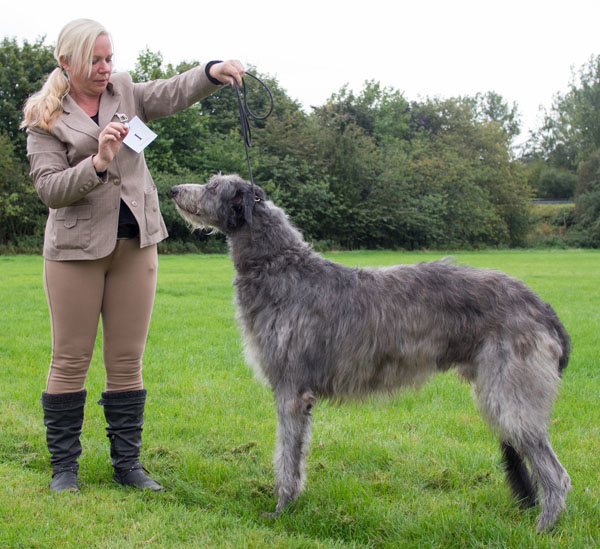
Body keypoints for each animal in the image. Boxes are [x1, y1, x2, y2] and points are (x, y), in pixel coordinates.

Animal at [169, 174, 572, 532]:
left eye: (212, 187)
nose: (172, 189)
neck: (280, 264)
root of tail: (543, 307)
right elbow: (295, 455)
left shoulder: (291, 390)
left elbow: (286, 457)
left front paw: (280, 510)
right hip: (496, 392)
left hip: (513, 395)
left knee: (557, 474)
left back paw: (543, 528)